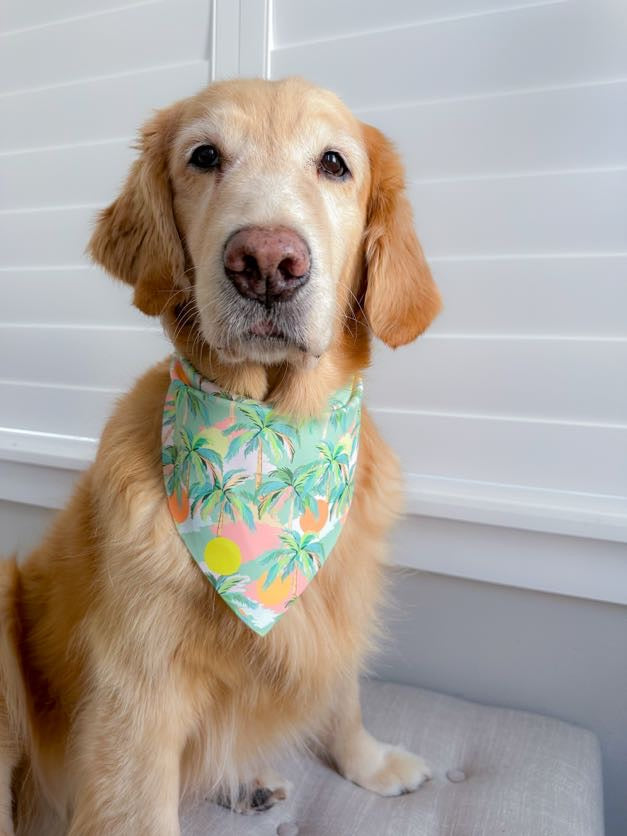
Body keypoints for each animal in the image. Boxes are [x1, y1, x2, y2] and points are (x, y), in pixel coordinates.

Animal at [0, 75, 442, 832]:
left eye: (334, 163)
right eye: (204, 156)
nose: (267, 263)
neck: (272, 433)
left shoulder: (338, 600)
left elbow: (343, 691)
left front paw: (369, 760)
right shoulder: (136, 693)